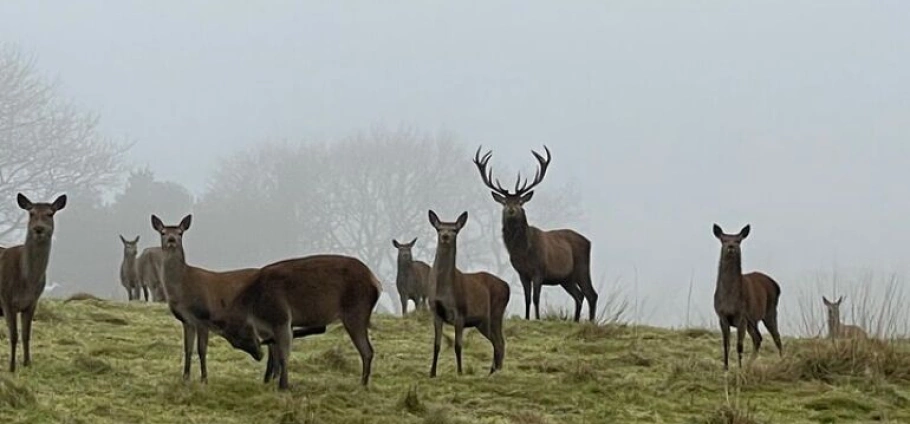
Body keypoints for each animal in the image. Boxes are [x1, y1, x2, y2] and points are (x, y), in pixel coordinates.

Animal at [0, 192, 67, 372]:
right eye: (31, 213)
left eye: (50, 214)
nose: (38, 229)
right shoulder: (6, 299)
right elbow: (14, 335)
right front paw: (11, 367)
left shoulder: (32, 302)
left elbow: (26, 335)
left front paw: (27, 363)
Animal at [209, 253, 382, 390]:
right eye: (235, 343)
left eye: (240, 336)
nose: (258, 355)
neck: (255, 310)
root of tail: (376, 283)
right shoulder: (270, 328)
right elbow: (275, 354)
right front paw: (269, 380)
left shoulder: (281, 318)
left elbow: (283, 355)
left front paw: (283, 386)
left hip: (356, 311)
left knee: (367, 350)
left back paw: (362, 384)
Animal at [426, 210, 510, 376]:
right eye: (439, 228)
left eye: (454, 230)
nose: (445, 236)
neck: (442, 291)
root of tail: (507, 286)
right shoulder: (436, 312)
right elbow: (436, 345)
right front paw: (432, 373)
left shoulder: (460, 313)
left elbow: (458, 345)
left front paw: (460, 372)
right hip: (481, 322)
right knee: (496, 341)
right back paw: (492, 371)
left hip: (496, 312)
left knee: (500, 342)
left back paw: (496, 372)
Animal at [474, 146, 604, 322]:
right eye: (505, 202)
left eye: (520, 202)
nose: (511, 210)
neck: (523, 251)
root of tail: (588, 241)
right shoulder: (522, 273)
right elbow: (527, 298)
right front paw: (527, 318)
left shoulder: (539, 270)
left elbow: (536, 298)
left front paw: (537, 318)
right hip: (566, 278)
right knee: (579, 296)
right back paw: (576, 320)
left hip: (582, 267)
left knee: (591, 294)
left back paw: (590, 321)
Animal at [712, 224, 784, 370]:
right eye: (723, 239)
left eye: (738, 240)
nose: (731, 246)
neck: (730, 299)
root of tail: (776, 285)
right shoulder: (721, 316)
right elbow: (726, 345)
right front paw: (726, 368)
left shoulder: (742, 316)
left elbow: (739, 346)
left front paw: (739, 369)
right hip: (753, 320)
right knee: (758, 338)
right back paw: (749, 364)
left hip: (770, 310)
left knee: (776, 337)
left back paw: (782, 361)